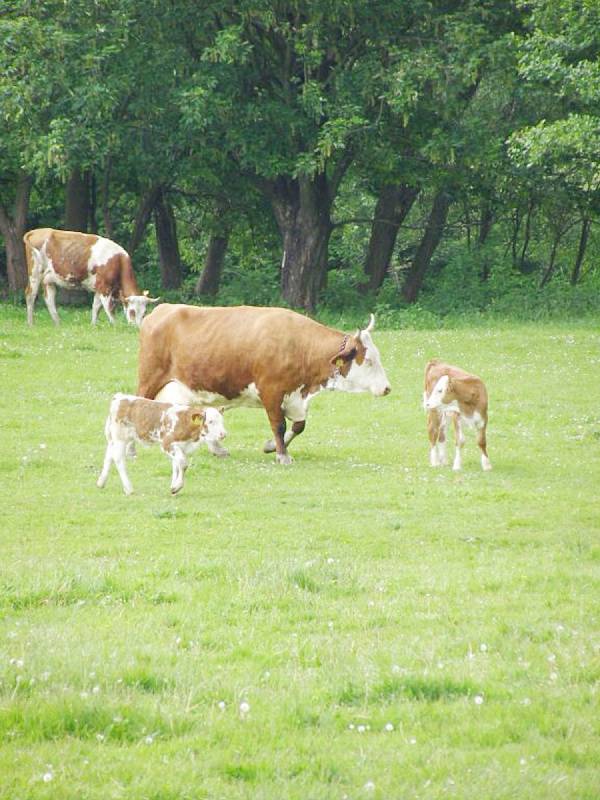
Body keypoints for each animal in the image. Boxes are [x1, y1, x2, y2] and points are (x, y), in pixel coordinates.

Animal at [24, 227, 158, 326]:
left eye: (145, 312)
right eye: (132, 311)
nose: (137, 327)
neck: (118, 261)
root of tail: (36, 231)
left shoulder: (99, 288)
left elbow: (96, 307)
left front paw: (93, 325)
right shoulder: (104, 287)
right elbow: (109, 308)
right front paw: (115, 325)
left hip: (49, 279)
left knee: (49, 298)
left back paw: (58, 323)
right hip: (35, 272)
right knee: (30, 294)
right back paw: (31, 324)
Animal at [96, 394, 227, 494]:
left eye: (222, 420)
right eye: (210, 421)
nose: (223, 434)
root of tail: (119, 397)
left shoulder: (181, 447)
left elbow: (176, 465)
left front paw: (173, 485)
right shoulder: (167, 443)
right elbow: (183, 463)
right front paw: (177, 487)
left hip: (116, 439)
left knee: (109, 456)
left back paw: (101, 482)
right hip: (120, 438)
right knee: (118, 458)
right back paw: (128, 488)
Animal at [138, 302, 394, 466]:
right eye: (368, 360)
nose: (387, 388)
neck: (299, 346)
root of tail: (161, 309)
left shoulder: (295, 397)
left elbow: (299, 426)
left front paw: (271, 446)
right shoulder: (271, 392)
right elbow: (279, 425)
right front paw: (282, 455)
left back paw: (217, 449)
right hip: (149, 379)